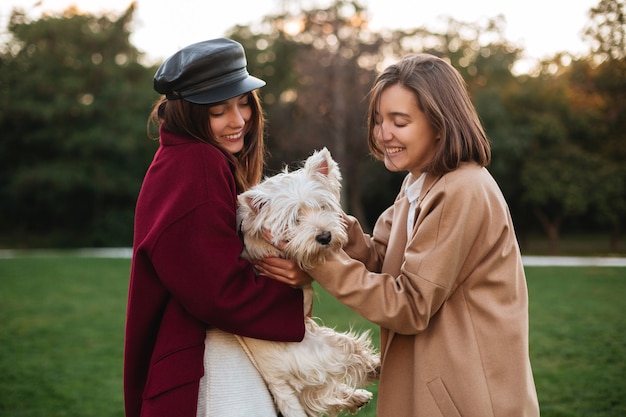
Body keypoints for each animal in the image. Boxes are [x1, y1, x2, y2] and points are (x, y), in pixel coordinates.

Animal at [235, 147, 378, 416]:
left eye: (322, 207)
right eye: (295, 219)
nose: (325, 237)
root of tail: (274, 378)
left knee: (317, 396)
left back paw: (357, 398)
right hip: (324, 350)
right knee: (353, 357)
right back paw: (376, 367)